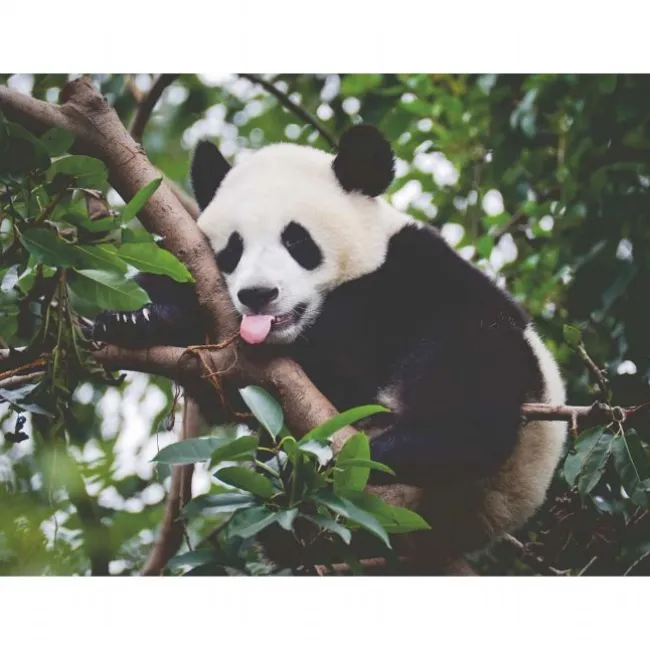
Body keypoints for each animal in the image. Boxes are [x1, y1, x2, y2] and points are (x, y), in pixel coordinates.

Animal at [94, 124, 568, 574]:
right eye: (232, 249)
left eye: (297, 242)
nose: (258, 295)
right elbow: (222, 391)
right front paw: (136, 317)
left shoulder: (405, 280)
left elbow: (341, 355)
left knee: (472, 373)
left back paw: (400, 449)